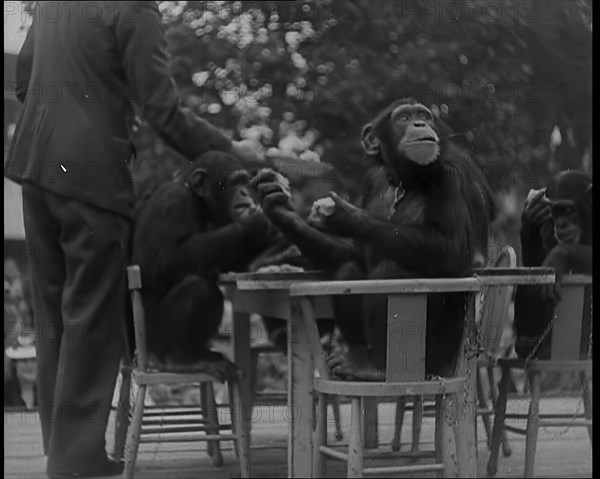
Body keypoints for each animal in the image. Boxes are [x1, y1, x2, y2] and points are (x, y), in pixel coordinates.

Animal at [131, 152, 282, 380]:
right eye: (233, 182)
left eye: (245, 182)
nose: (245, 192)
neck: (198, 201)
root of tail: (142, 360)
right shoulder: (173, 201)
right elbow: (164, 261)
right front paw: (251, 225)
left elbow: (227, 266)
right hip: (154, 344)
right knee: (198, 288)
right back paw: (181, 359)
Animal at [255, 99, 494, 380]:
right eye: (404, 118)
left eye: (424, 115)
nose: (419, 123)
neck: (403, 179)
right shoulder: (371, 181)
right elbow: (355, 254)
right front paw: (281, 212)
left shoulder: (450, 176)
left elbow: (453, 249)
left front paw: (346, 216)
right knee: (349, 269)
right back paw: (358, 361)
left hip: (445, 356)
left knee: (393, 271)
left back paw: (377, 369)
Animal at [512, 171, 592, 358]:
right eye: (555, 211)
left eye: (568, 210)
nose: (561, 224)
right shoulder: (547, 226)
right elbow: (535, 267)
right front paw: (531, 216)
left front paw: (558, 256)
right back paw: (528, 343)